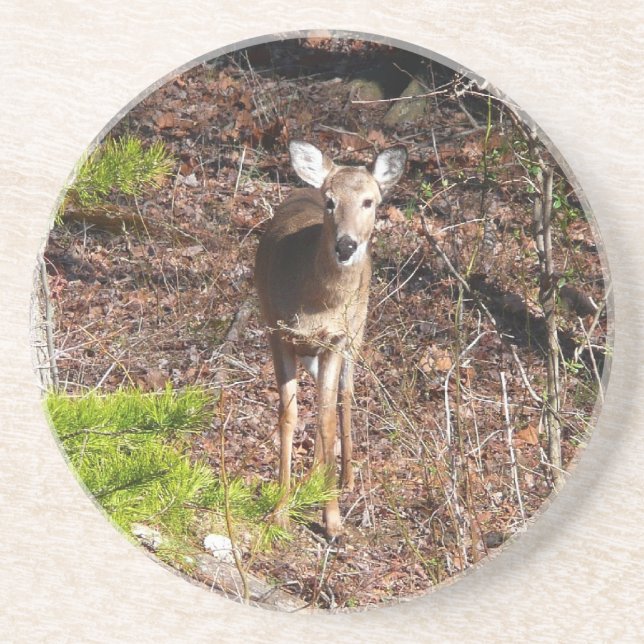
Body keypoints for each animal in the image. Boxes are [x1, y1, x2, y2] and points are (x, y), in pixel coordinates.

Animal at [255, 140, 407, 538]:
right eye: (330, 201)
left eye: (370, 201)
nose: (346, 246)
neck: (317, 304)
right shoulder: (277, 331)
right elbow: (289, 415)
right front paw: (279, 511)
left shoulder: (336, 339)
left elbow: (324, 419)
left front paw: (333, 520)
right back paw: (313, 478)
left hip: (358, 330)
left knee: (345, 394)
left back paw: (345, 478)